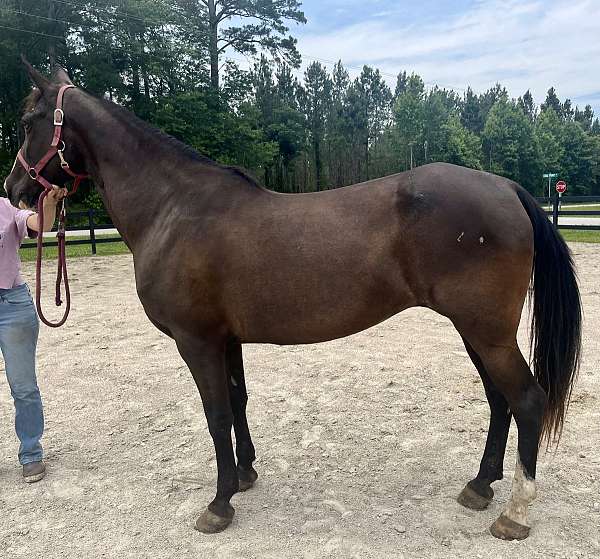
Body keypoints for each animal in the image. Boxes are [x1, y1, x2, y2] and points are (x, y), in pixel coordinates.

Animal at [2, 63, 580, 540]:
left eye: (29, 121)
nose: (14, 190)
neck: (173, 208)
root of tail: (506, 187)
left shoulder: (196, 341)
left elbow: (215, 413)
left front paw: (218, 504)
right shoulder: (226, 339)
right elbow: (237, 403)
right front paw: (244, 475)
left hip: (487, 332)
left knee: (527, 400)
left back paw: (515, 513)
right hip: (475, 331)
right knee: (500, 400)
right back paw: (480, 487)